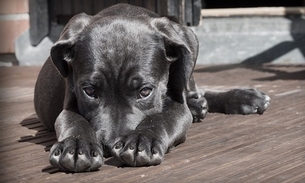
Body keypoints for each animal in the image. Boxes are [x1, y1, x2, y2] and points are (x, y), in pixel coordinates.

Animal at [34, 3, 270, 172]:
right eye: (89, 91)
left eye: (145, 91)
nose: (109, 146)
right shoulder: (69, 103)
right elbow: (73, 120)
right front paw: (76, 146)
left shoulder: (177, 105)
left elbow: (161, 118)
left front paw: (141, 140)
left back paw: (243, 98)